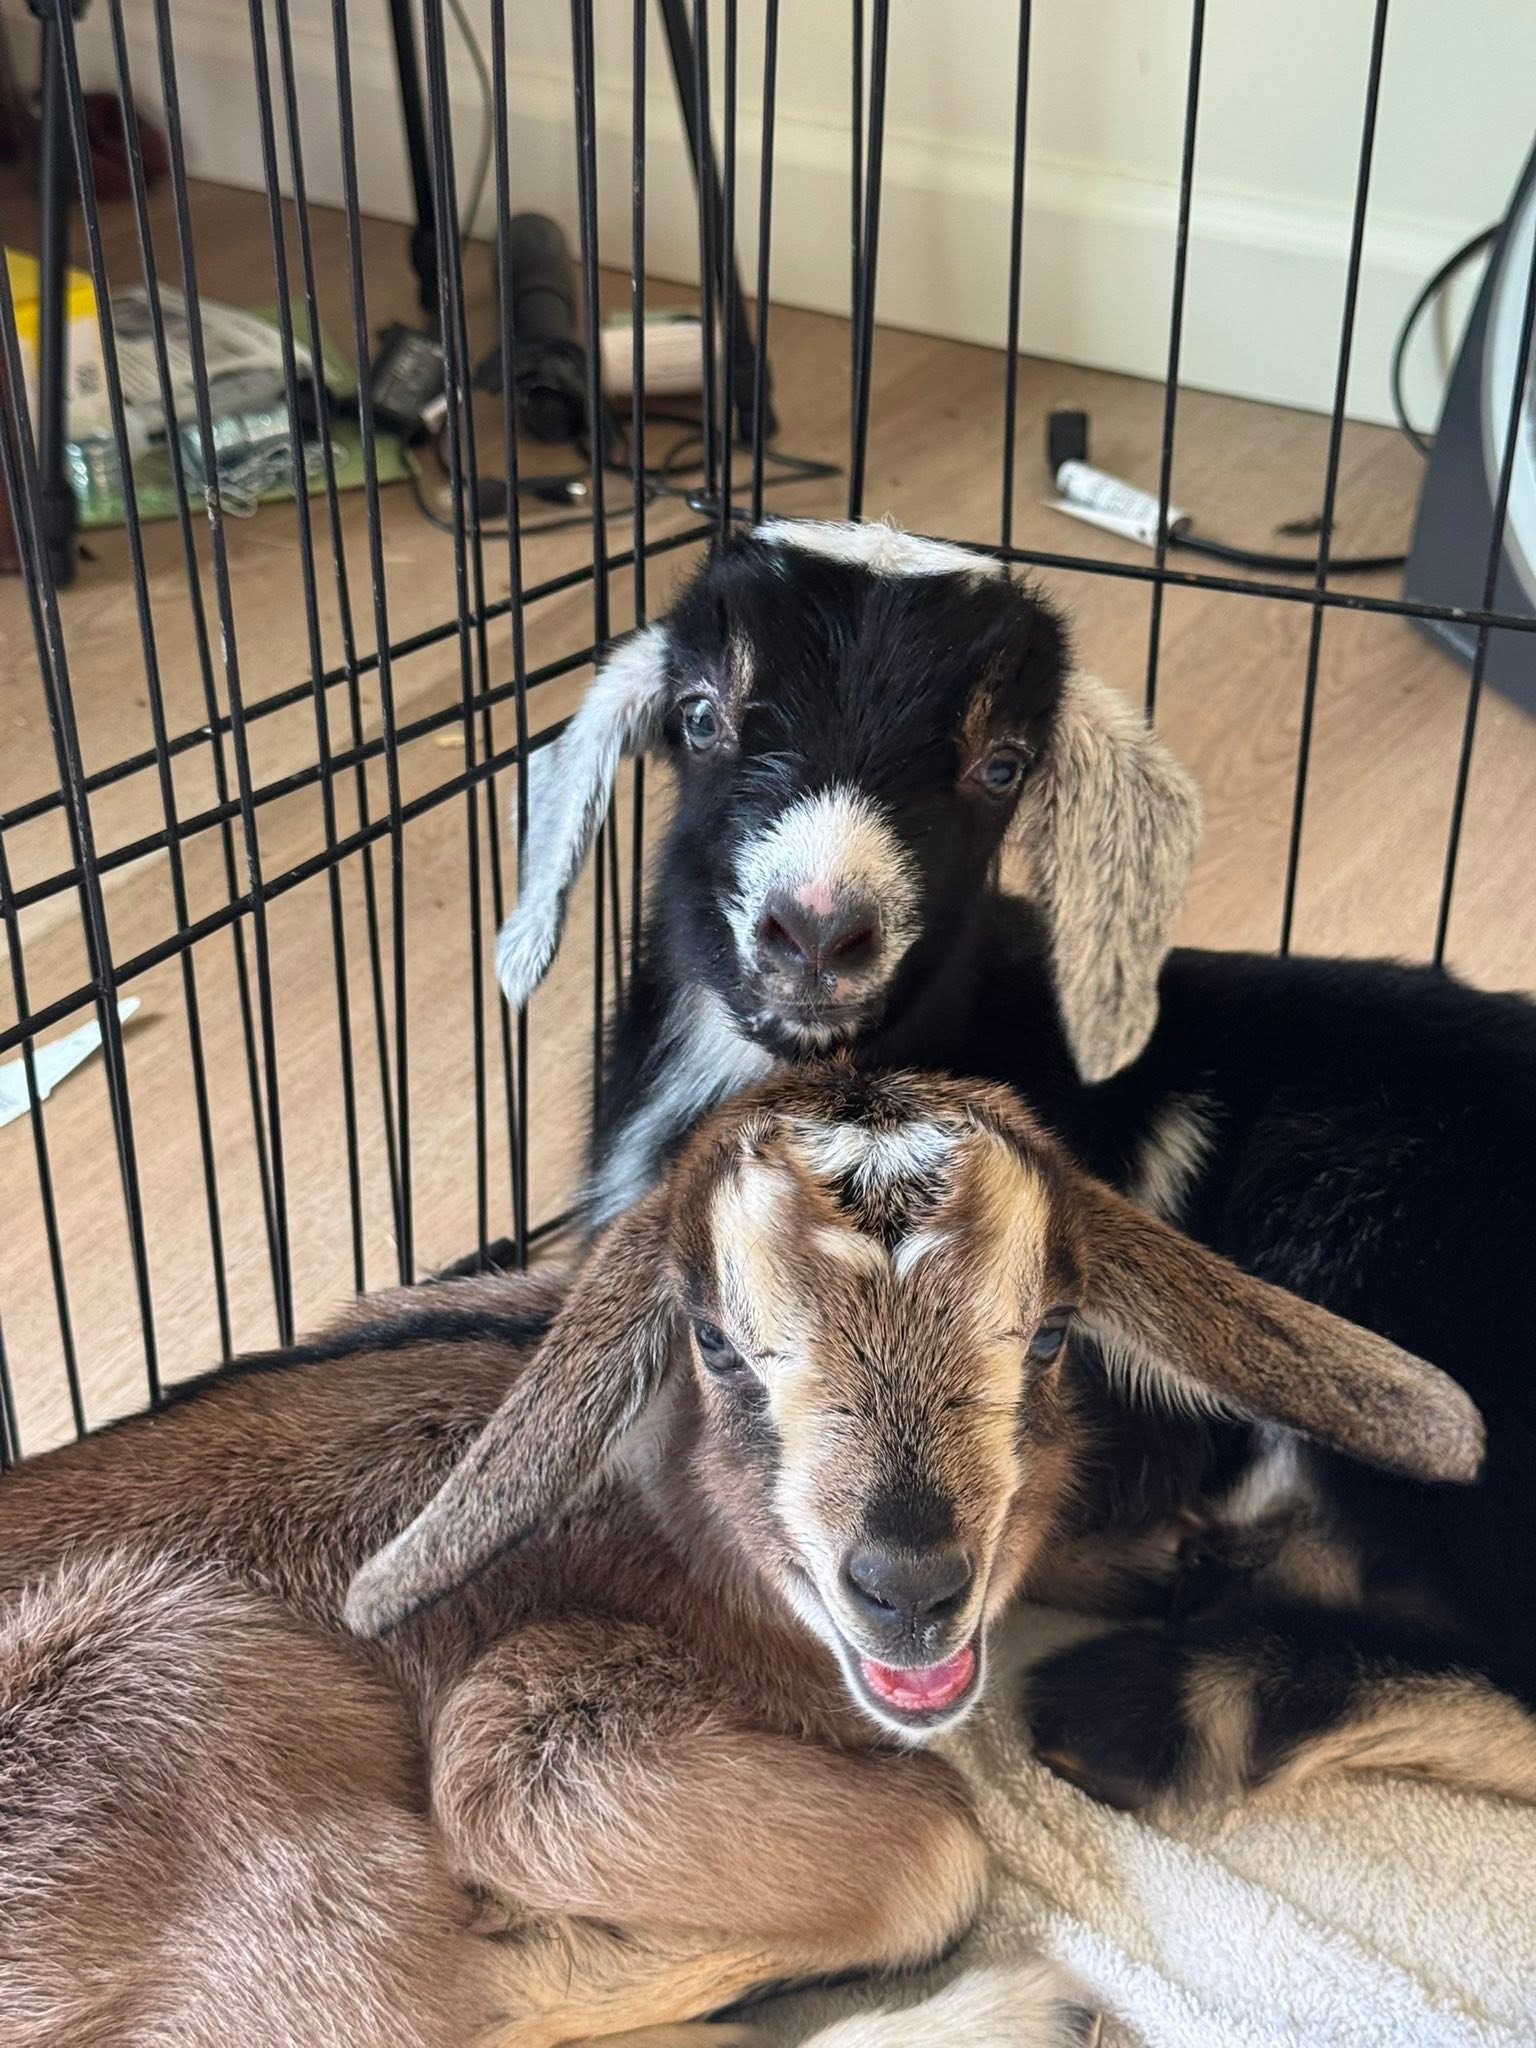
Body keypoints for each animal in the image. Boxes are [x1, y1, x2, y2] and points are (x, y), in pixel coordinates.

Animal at [0, 1068, 1482, 2048]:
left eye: (1053, 1332)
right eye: (715, 1343)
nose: (909, 1588)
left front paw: (1176, 1557)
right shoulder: (534, 1729)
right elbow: (944, 1836)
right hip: (182, 1691)